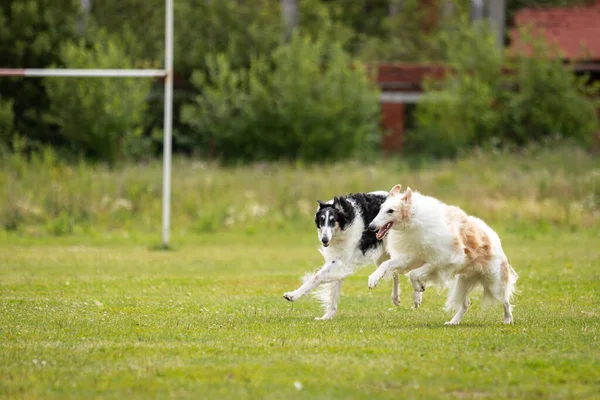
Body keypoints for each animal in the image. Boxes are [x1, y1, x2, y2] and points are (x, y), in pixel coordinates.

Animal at [284, 192, 424, 320]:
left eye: (332, 221)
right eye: (321, 220)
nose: (324, 240)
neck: (346, 219)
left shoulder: (339, 262)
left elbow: (316, 278)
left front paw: (293, 295)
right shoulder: (338, 260)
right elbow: (333, 291)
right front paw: (327, 316)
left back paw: (417, 296)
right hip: (383, 255)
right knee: (394, 273)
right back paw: (396, 298)